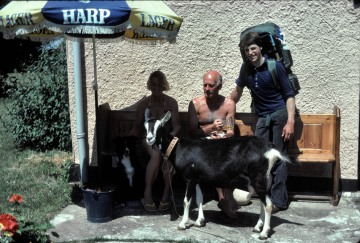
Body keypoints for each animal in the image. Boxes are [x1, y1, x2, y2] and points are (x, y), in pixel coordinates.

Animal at [144, 110, 298, 239]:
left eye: (160, 126)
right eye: (145, 126)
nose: (149, 139)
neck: (177, 147)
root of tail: (271, 150)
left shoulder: (189, 178)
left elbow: (187, 201)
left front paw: (182, 224)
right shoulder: (198, 179)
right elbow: (199, 199)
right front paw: (200, 221)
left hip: (258, 178)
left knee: (268, 205)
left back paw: (264, 233)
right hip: (264, 179)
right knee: (263, 202)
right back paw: (257, 227)